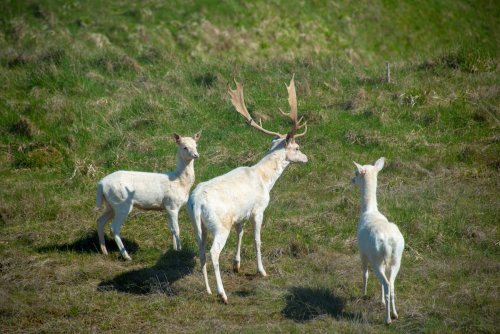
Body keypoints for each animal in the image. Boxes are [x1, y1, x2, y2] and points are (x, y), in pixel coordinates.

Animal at [95, 131, 201, 260]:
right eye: (185, 147)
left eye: (196, 145)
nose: (196, 155)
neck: (180, 182)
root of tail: (101, 184)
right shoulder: (172, 205)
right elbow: (177, 230)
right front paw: (179, 251)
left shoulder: (166, 206)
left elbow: (171, 229)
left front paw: (174, 250)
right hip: (122, 203)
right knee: (114, 227)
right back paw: (126, 256)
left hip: (111, 205)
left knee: (100, 220)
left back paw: (104, 250)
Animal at [187, 75, 306, 302]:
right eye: (296, 148)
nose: (306, 158)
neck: (265, 180)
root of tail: (196, 202)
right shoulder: (258, 209)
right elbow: (257, 240)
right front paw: (262, 270)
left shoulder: (240, 214)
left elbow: (240, 234)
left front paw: (237, 265)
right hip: (219, 225)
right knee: (214, 253)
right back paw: (222, 294)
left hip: (199, 226)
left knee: (201, 251)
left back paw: (207, 290)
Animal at [352, 158, 406, 324]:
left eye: (356, 172)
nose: (352, 180)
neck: (369, 211)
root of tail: (388, 242)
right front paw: (381, 301)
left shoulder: (362, 252)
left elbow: (365, 274)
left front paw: (363, 293)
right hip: (396, 259)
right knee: (391, 284)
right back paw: (395, 314)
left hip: (376, 259)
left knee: (387, 284)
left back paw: (387, 319)